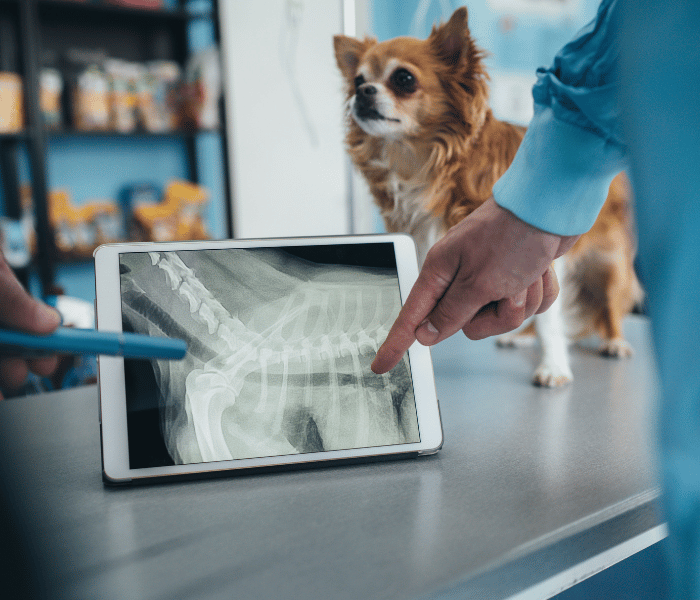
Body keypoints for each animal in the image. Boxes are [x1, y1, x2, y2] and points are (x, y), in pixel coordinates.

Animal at [334, 7, 640, 386]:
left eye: (404, 78)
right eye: (358, 80)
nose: (362, 92)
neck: (422, 164)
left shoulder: (534, 259)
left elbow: (550, 322)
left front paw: (554, 367)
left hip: (611, 265)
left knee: (609, 309)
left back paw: (614, 342)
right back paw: (519, 337)